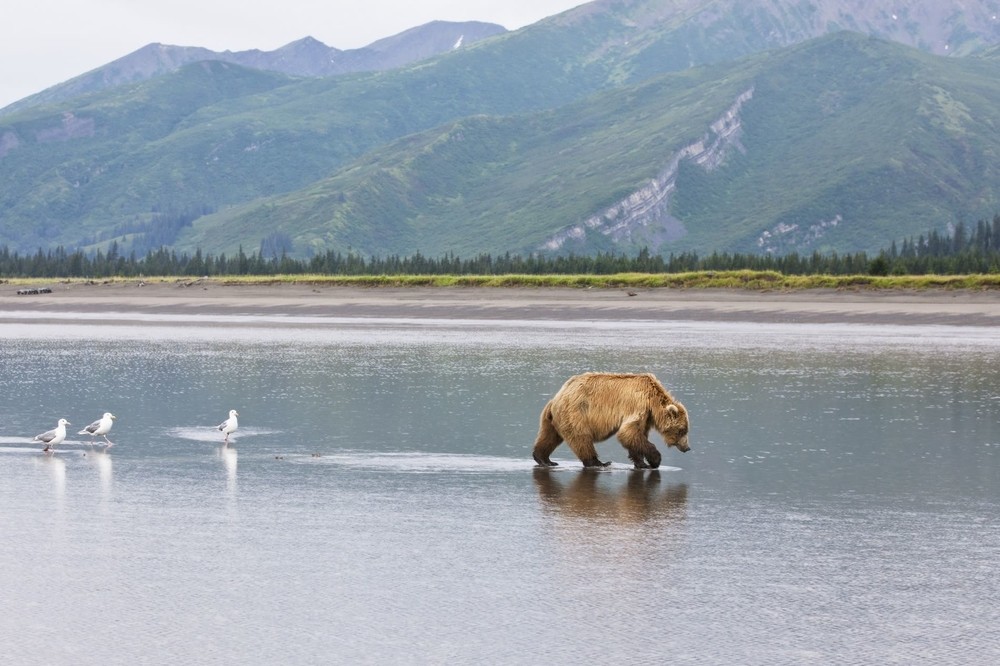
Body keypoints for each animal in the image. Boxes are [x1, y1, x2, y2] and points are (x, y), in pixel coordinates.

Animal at [532, 370, 688, 470]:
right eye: (682, 430)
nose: (687, 448)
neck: (652, 401)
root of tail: (558, 396)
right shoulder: (638, 404)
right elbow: (628, 432)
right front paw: (655, 460)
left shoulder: (646, 416)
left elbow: (636, 436)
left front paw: (641, 463)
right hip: (575, 413)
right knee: (581, 438)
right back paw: (598, 462)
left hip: (553, 418)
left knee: (550, 436)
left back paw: (544, 459)